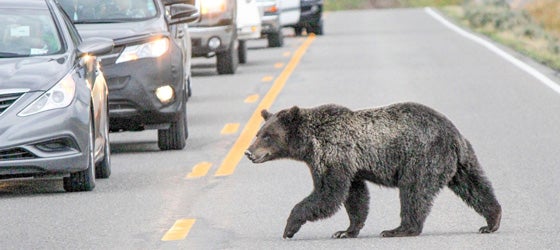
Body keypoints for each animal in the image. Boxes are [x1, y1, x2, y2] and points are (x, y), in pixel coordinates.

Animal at [245, 102, 504, 239]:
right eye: (258, 133)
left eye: (267, 135)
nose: (248, 152)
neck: (308, 144)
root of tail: (454, 134)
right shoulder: (350, 167)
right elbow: (355, 196)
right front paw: (346, 231)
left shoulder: (333, 154)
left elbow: (328, 194)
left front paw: (289, 227)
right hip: (460, 162)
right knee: (475, 186)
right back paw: (491, 221)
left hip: (422, 157)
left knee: (414, 191)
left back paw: (399, 229)